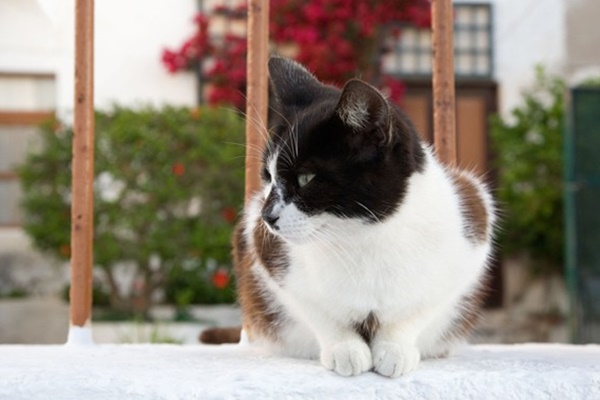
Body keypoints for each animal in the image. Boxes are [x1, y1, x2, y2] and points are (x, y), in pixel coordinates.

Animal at [204, 57, 494, 378]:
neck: (361, 236)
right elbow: (317, 310)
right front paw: (345, 349)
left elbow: (418, 308)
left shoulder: (474, 227)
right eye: (268, 177)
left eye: (306, 178)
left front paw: (395, 349)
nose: (268, 216)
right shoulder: (265, 252)